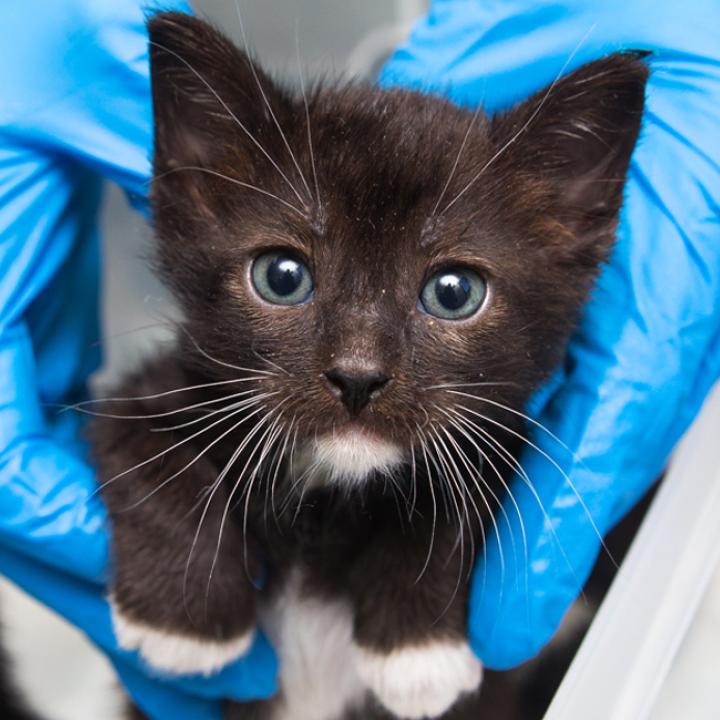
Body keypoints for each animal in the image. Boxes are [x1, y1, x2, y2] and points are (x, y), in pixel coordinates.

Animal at [90, 12, 648, 720]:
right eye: (282, 277)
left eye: (454, 292)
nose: (357, 375)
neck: (331, 494)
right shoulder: (157, 385)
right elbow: (141, 443)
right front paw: (181, 621)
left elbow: (478, 485)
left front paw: (416, 648)